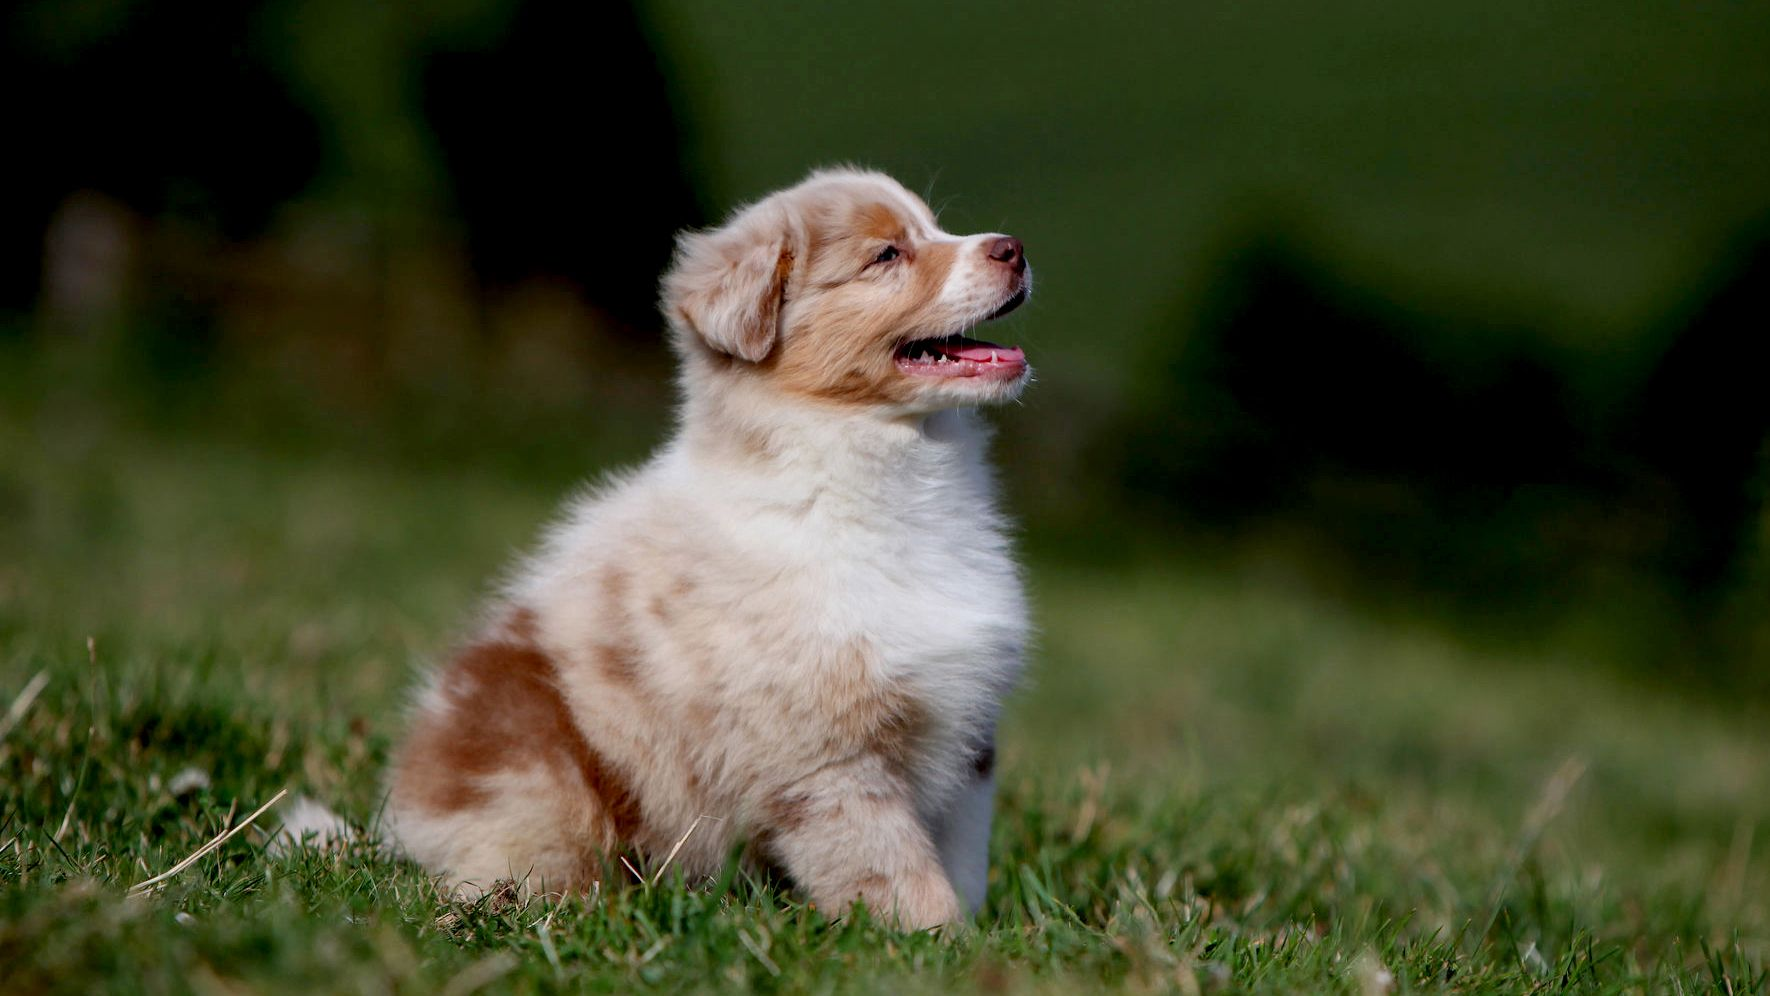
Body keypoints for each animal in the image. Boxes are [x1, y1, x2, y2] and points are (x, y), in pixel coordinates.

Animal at [380, 165, 1033, 927]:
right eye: (886, 255)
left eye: (935, 227)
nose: (1014, 247)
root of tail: (401, 821)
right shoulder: (820, 752)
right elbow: (895, 870)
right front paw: (937, 939)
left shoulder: (968, 737)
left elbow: (962, 859)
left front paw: (979, 932)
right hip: (539, 771)